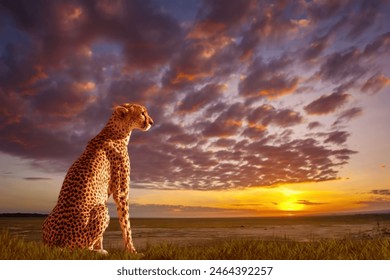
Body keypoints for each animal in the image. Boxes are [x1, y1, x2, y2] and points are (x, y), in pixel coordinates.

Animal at [41, 103, 153, 254]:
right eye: (142, 113)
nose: (151, 122)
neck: (116, 131)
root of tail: (57, 243)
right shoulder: (122, 194)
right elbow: (126, 225)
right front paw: (132, 251)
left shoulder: (104, 195)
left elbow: (103, 235)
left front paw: (101, 246)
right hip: (101, 211)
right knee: (82, 249)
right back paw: (99, 252)